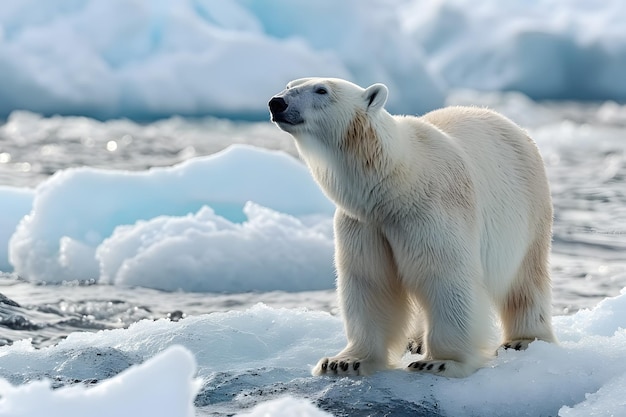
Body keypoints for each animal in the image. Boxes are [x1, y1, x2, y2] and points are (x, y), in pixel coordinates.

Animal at [266, 77, 552, 376]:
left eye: (321, 90)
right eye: (289, 85)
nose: (277, 102)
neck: (395, 186)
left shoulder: (431, 211)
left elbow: (445, 276)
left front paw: (440, 361)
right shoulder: (365, 223)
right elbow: (369, 281)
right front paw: (344, 362)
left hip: (527, 210)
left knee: (524, 280)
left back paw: (522, 339)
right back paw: (415, 341)